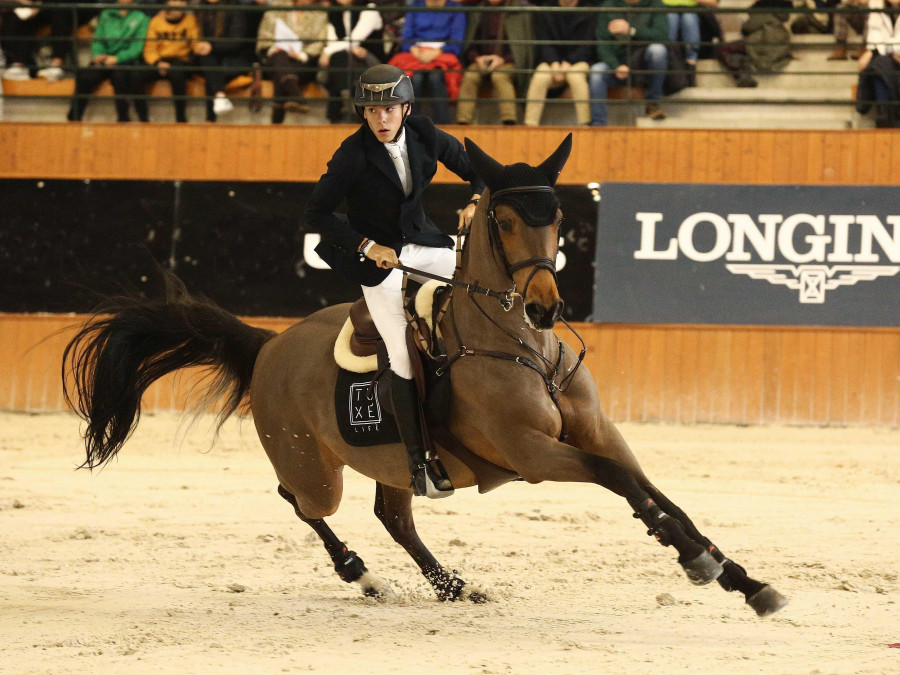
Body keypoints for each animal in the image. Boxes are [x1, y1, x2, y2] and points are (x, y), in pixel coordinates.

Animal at [61, 136, 788, 616]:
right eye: (504, 220)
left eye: (556, 216)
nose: (544, 307)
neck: (520, 344)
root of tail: (269, 345)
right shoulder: (533, 454)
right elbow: (620, 482)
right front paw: (699, 563)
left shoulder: (598, 431)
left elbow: (652, 490)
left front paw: (741, 578)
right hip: (314, 468)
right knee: (299, 499)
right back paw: (361, 574)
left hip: (390, 460)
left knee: (393, 516)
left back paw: (451, 585)